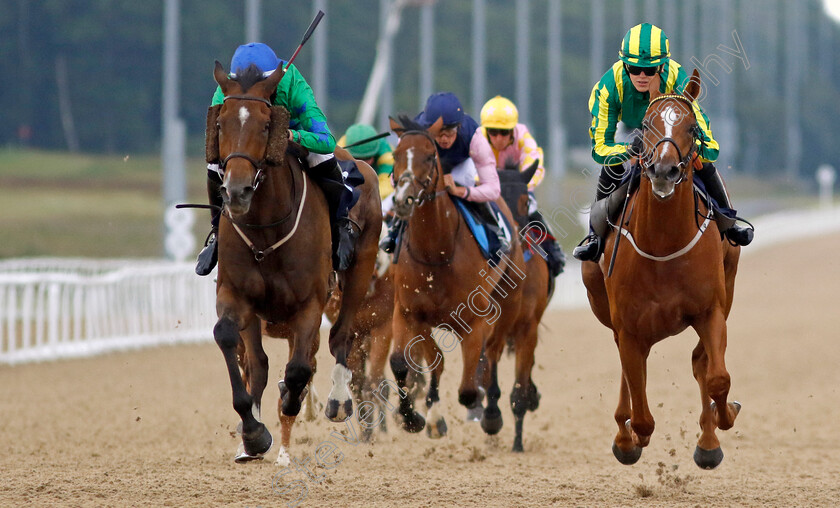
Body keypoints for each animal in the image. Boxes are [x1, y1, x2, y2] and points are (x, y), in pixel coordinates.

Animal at [388, 116, 524, 440]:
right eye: (396, 155)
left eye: (428, 156)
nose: (402, 200)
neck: (436, 252)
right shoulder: (410, 312)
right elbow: (404, 362)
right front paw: (415, 418)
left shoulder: (474, 320)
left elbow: (468, 388)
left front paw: (478, 406)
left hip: (509, 302)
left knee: (493, 351)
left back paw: (491, 413)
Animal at [584, 69, 740, 470]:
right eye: (645, 125)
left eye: (691, 127)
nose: (664, 169)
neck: (663, 245)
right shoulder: (628, 326)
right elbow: (641, 413)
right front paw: (630, 436)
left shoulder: (711, 310)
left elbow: (717, 377)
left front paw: (719, 424)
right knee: (629, 370)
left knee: (701, 362)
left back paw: (708, 438)